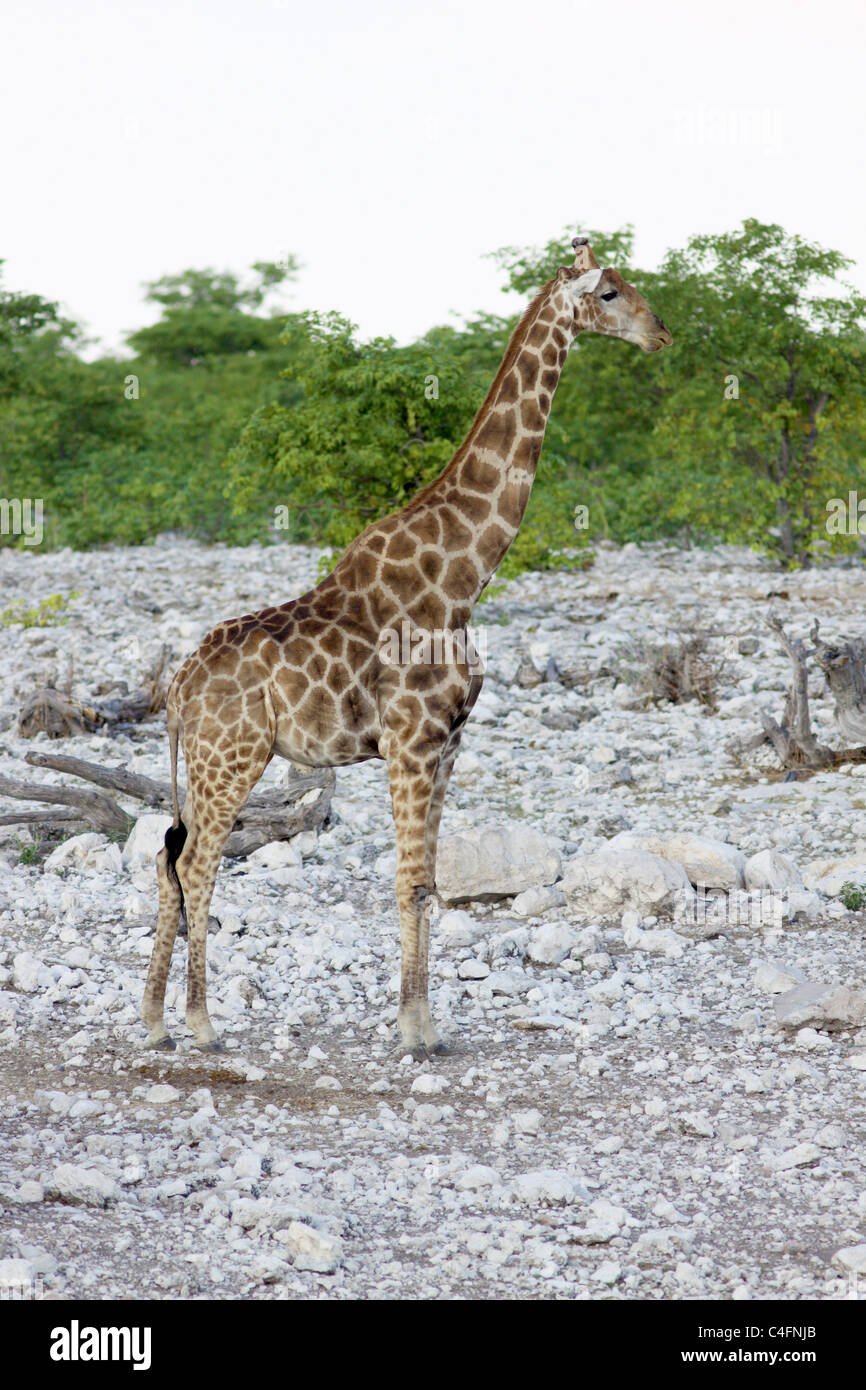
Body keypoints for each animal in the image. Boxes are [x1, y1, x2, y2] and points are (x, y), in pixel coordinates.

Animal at [142, 236, 675, 1050]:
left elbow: (428, 883)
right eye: (610, 292)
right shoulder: (412, 741)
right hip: (232, 756)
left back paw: (152, 1021)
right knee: (197, 864)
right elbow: (408, 880)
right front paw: (412, 1032)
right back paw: (201, 1024)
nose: (661, 335)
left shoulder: (448, 745)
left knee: (168, 857)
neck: (463, 576)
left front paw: (424, 1024)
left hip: (206, 763)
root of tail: (177, 690)